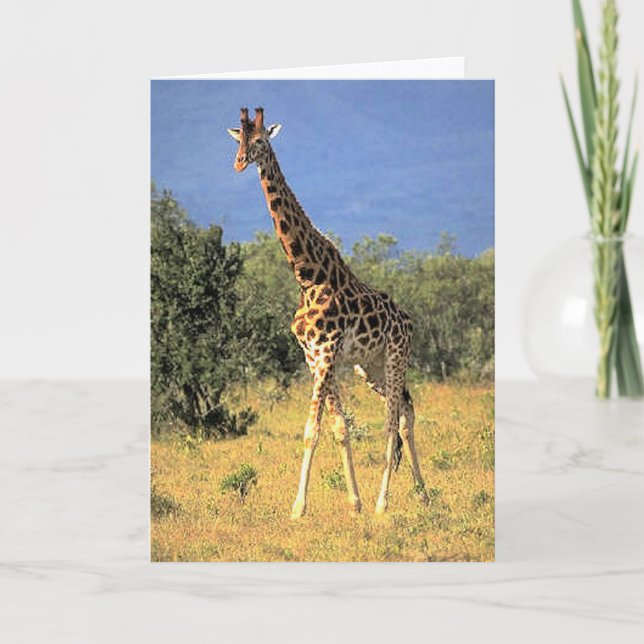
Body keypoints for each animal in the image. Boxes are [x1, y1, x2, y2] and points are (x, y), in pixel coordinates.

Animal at [227, 107, 430, 518]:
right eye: (239, 139)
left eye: (261, 141)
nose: (239, 163)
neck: (308, 276)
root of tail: (409, 320)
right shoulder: (314, 356)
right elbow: (340, 427)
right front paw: (354, 503)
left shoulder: (325, 353)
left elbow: (311, 430)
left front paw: (298, 508)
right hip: (371, 367)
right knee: (406, 410)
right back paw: (423, 494)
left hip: (396, 356)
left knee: (392, 421)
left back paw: (385, 503)